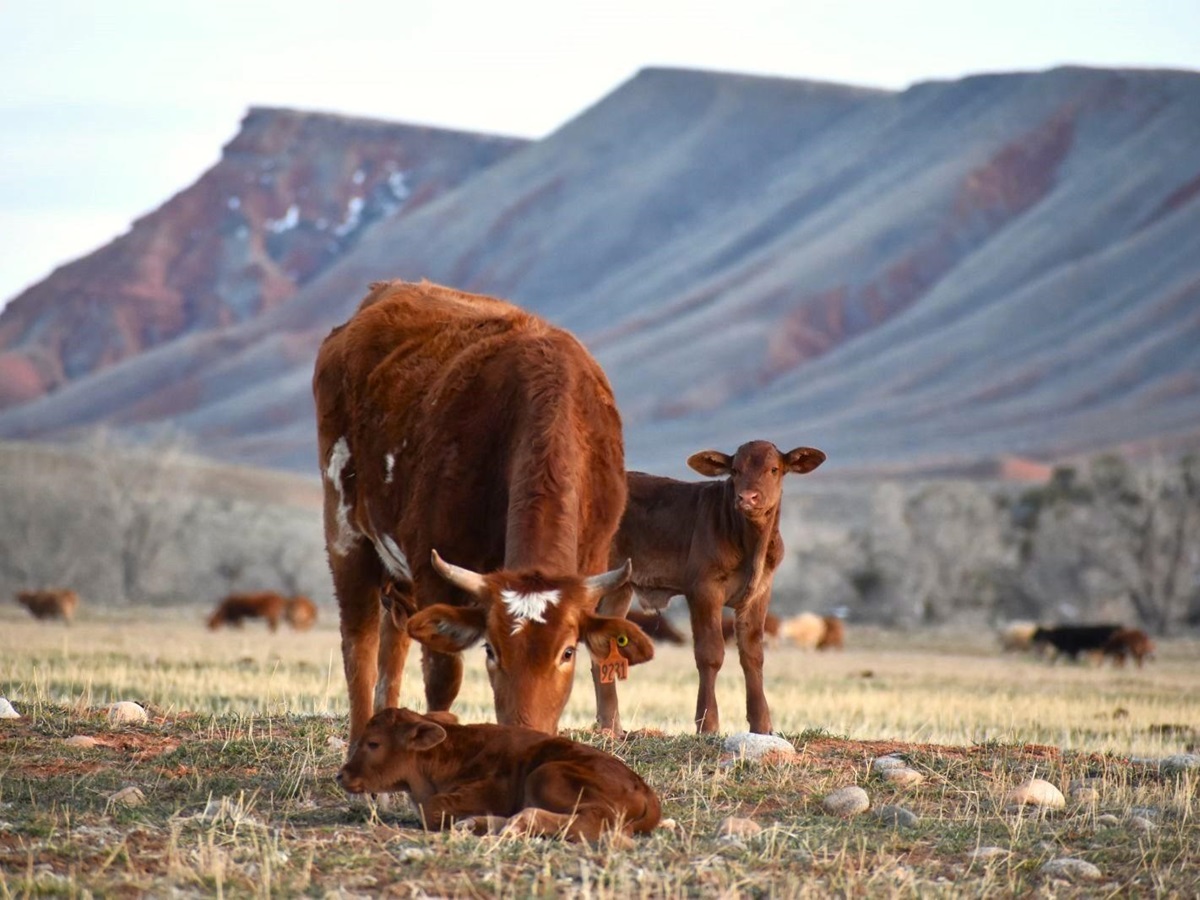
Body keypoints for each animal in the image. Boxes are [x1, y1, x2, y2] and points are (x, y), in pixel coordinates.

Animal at [313, 280, 652, 747]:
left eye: (567, 651)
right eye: (491, 649)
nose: (526, 729)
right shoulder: (433, 569)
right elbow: (443, 678)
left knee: (392, 644)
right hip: (345, 527)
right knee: (358, 644)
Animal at [337, 707, 661, 844]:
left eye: (373, 743)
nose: (341, 776)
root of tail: (645, 789)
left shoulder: (494, 790)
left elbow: (433, 810)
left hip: (546, 774)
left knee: (592, 821)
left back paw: (518, 823)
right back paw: (480, 824)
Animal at [609, 440, 826, 734]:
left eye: (774, 469)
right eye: (734, 470)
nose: (747, 498)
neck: (751, 546)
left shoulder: (760, 592)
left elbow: (753, 654)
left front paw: (761, 723)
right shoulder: (703, 588)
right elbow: (710, 653)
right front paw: (708, 723)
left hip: (619, 586)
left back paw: (610, 726)